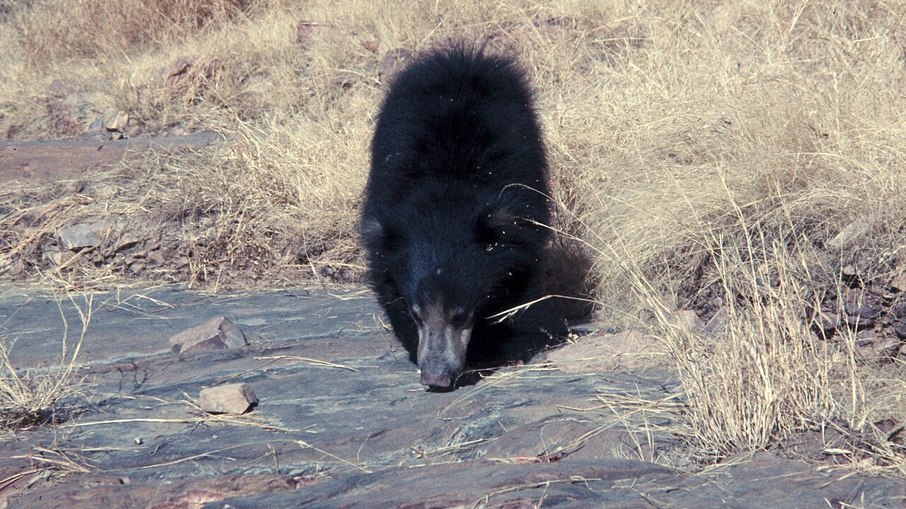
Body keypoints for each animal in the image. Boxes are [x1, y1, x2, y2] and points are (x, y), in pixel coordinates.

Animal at [361, 44, 551, 389]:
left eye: (460, 315)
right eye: (417, 314)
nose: (436, 378)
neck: (445, 197)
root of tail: (461, 57)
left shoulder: (519, 217)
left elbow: (517, 276)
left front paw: (493, 345)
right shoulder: (385, 229)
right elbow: (387, 284)